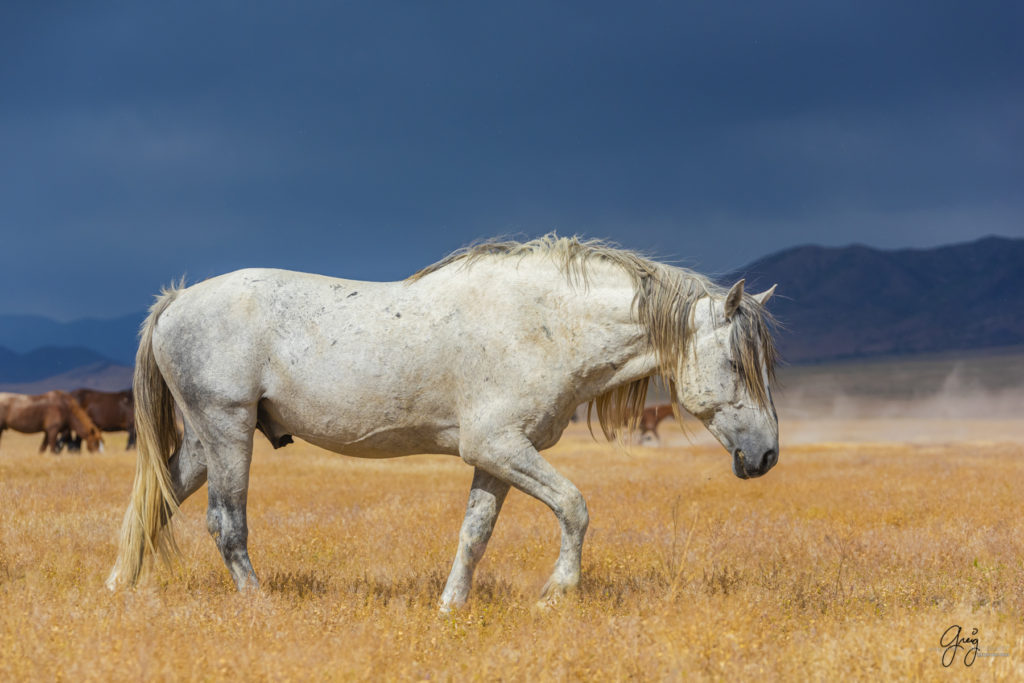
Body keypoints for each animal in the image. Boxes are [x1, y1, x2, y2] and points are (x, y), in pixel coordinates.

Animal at [108, 233, 778, 610]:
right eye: (736, 363)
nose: (767, 455)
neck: (544, 324)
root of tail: (177, 300)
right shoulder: (499, 447)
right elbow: (574, 505)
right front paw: (557, 594)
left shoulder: (499, 458)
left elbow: (474, 534)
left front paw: (451, 608)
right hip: (226, 433)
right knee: (225, 524)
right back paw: (259, 604)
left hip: (207, 440)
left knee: (154, 505)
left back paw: (118, 588)